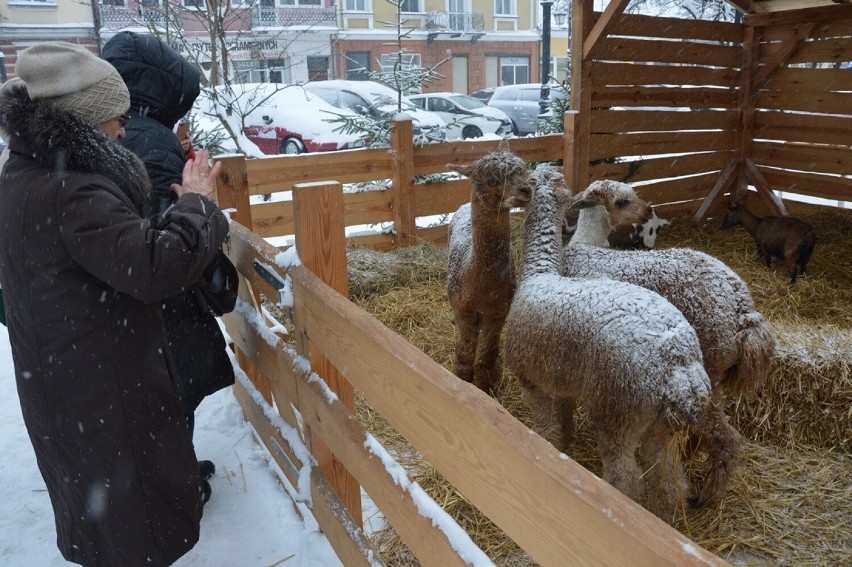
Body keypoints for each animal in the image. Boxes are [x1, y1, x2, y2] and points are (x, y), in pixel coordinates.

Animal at [506, 165, 712, 524]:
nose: (647, 211)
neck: (539, 273)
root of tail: (679, 366)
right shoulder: (562, 380)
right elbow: (564, 423)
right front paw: (564, 447)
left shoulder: (530, 380)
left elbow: (546, 428)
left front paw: (544, 450)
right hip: (663, 427)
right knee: (668, 479)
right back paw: (664, 517)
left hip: (618, 409)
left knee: (625, 480)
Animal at [564, 180, 776, 508]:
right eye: (623, 201)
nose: (648, 210)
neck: (587, 245)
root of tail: (744, 311)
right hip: (715, 377)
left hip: (709, 364)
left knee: (724, 437)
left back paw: (704, 494)